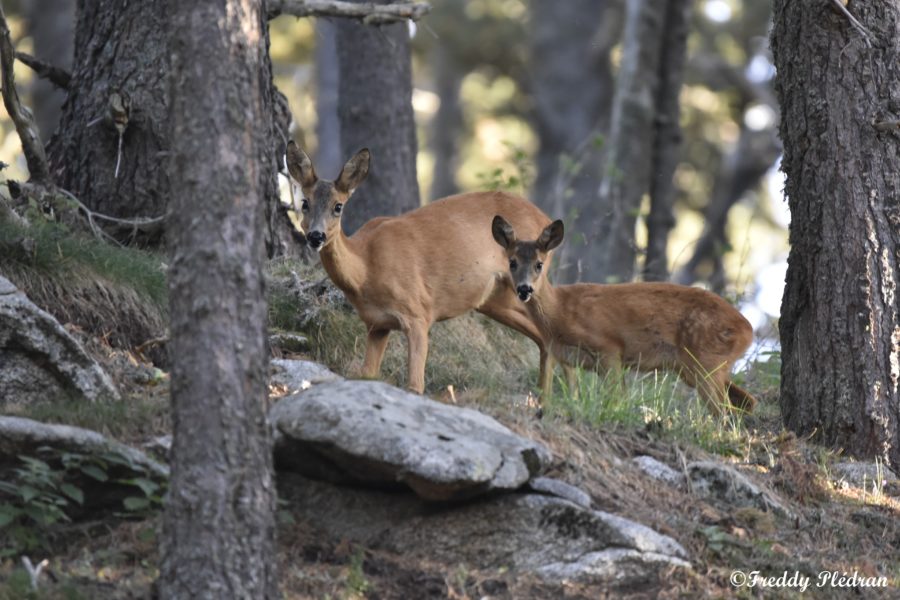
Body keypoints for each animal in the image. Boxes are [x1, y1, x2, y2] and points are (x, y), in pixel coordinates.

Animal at [286, 141, 556, 394]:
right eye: (305, 203)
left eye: (338, 206)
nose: (316, 236)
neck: (365, 270)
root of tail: (546, 218)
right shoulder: (377, 325)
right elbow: (367, 374)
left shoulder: (418, 312)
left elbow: (415, 385)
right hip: (494, 299)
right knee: (543, 337)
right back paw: (543, 399)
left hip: (530, 280)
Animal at [496, 216, 756, 418]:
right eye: (512, 262)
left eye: (539, 264)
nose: (524, 289)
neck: (560, 312)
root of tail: (748, 331)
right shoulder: (559, 354)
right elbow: (551, 392)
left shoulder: (609, 348)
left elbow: (615, 399)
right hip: (696, 368)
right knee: (745, 402)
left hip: (706, 360)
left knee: (724, 412)